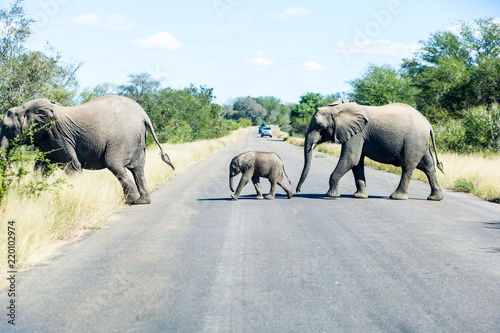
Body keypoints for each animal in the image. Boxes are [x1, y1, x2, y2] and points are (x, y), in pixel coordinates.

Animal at [0, 94, 175, 204]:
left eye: (7, 128)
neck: (25, 107)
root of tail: (144, 115)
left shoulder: (58, 135)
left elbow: (72, 165)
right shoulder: (46, 138)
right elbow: (41, 165)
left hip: (123, 137)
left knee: (114, 164)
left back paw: (130, 200)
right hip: (137, 138)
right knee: (138, 168)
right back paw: (142, 201)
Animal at [294, 99, 444, 200]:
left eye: (320, 127)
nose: (298, 191)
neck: (340, 108)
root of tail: (429, 125)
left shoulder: (357, 134)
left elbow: (351, 159)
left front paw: (330, 195)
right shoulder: (357, 134)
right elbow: (357, 163)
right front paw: (359, 196)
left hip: (413, 142)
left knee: (407, 167)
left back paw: (396, 197)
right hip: (421, 143)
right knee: (428, 166)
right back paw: (435, 198)